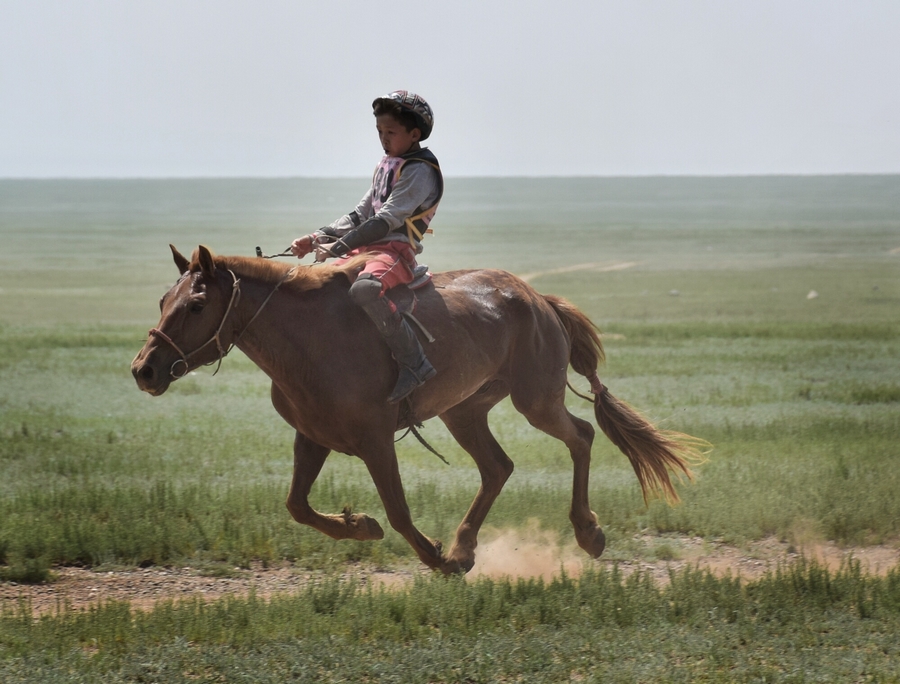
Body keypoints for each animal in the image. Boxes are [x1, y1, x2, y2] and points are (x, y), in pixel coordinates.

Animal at [131, 245, 706, 574]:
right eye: (163, 300)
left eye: (196, 305)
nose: (145, 370)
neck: (312, 340)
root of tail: (539, 299)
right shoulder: (312, 437)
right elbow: (297, 505)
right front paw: (361, 526)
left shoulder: (375, 440)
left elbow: (400, 512)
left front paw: (434, 557)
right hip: (465, 411)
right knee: (498, 467)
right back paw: (467, 546)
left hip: (536, 401)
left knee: (581, 436)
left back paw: (586, 533)